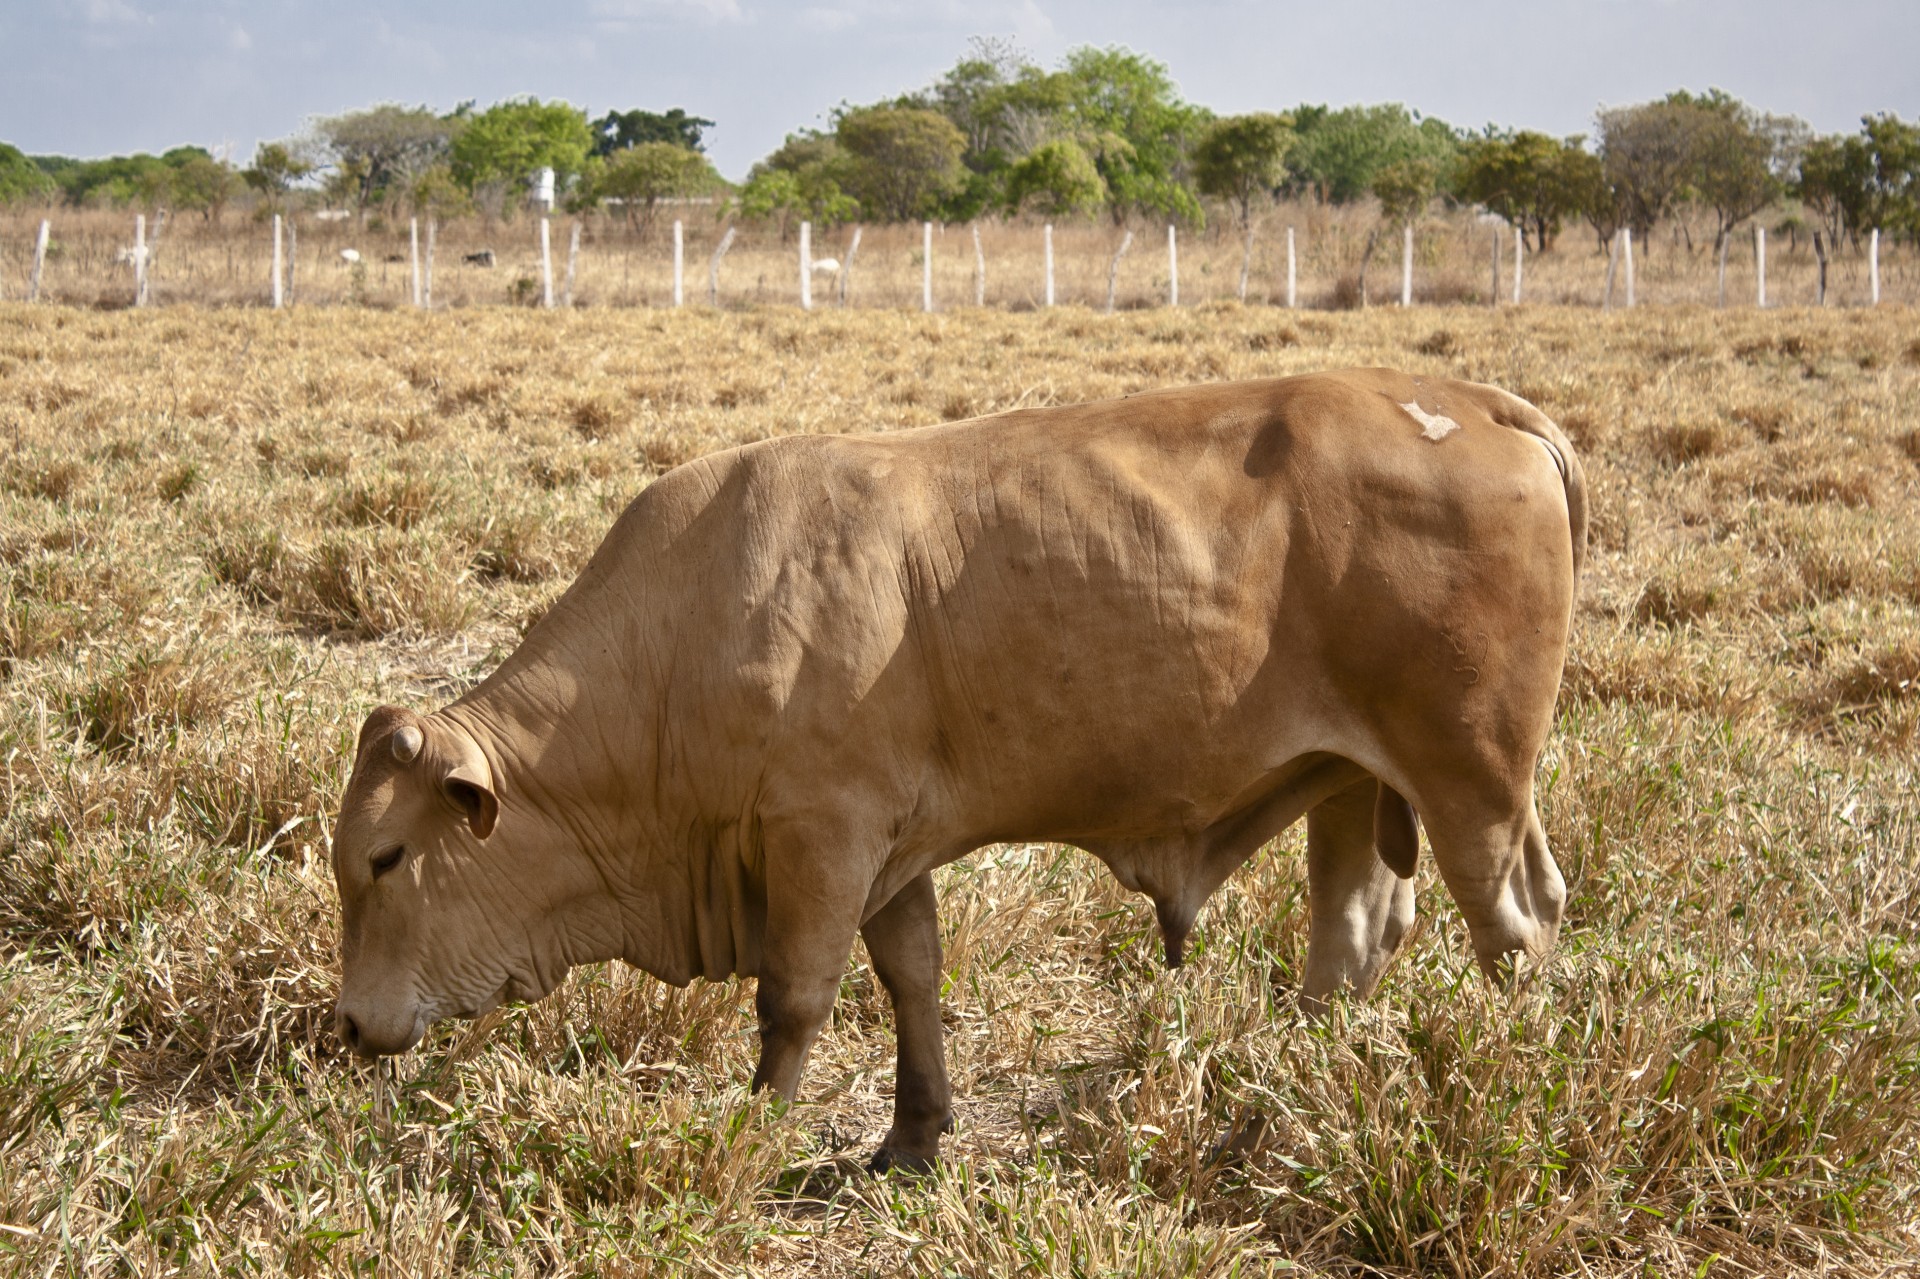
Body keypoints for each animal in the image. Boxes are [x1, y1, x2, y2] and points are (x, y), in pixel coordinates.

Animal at [334, 366, 1589, 1167]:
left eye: (385, 857)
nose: (349, 1026)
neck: (683, 633)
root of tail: (1483, 405)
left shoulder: (822, 835)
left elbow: (794, 998)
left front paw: (752, 1138)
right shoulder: (892, 849)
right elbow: (912, 977)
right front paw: (912, 1132)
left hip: (1472, 779)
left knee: (1517, 924)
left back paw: (1517, 1087)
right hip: (1353, 779)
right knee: (1357, 933)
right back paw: (1282, 1090)